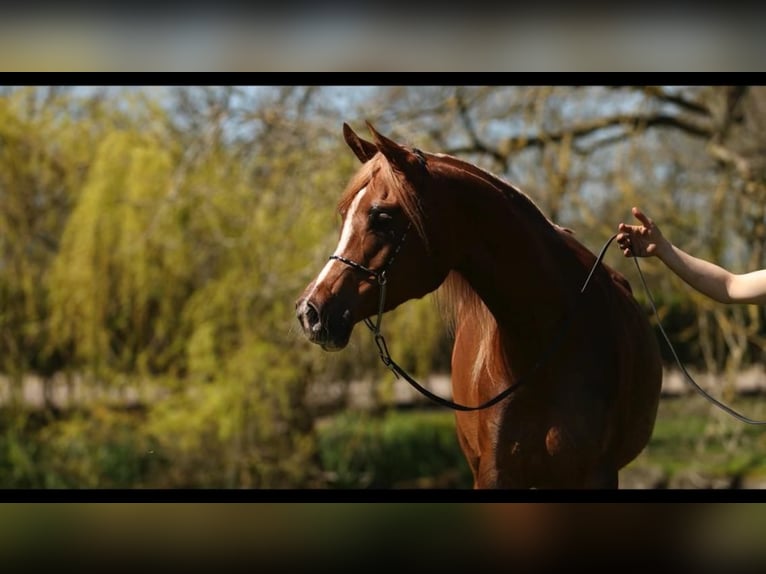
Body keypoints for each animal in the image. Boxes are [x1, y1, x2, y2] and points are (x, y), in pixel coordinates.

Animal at [296, 121, 664, 490]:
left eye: (382, 217)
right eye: (344, 215)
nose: (309, 311)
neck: (542, 353)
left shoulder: (596, 475)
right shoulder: (494, 475)